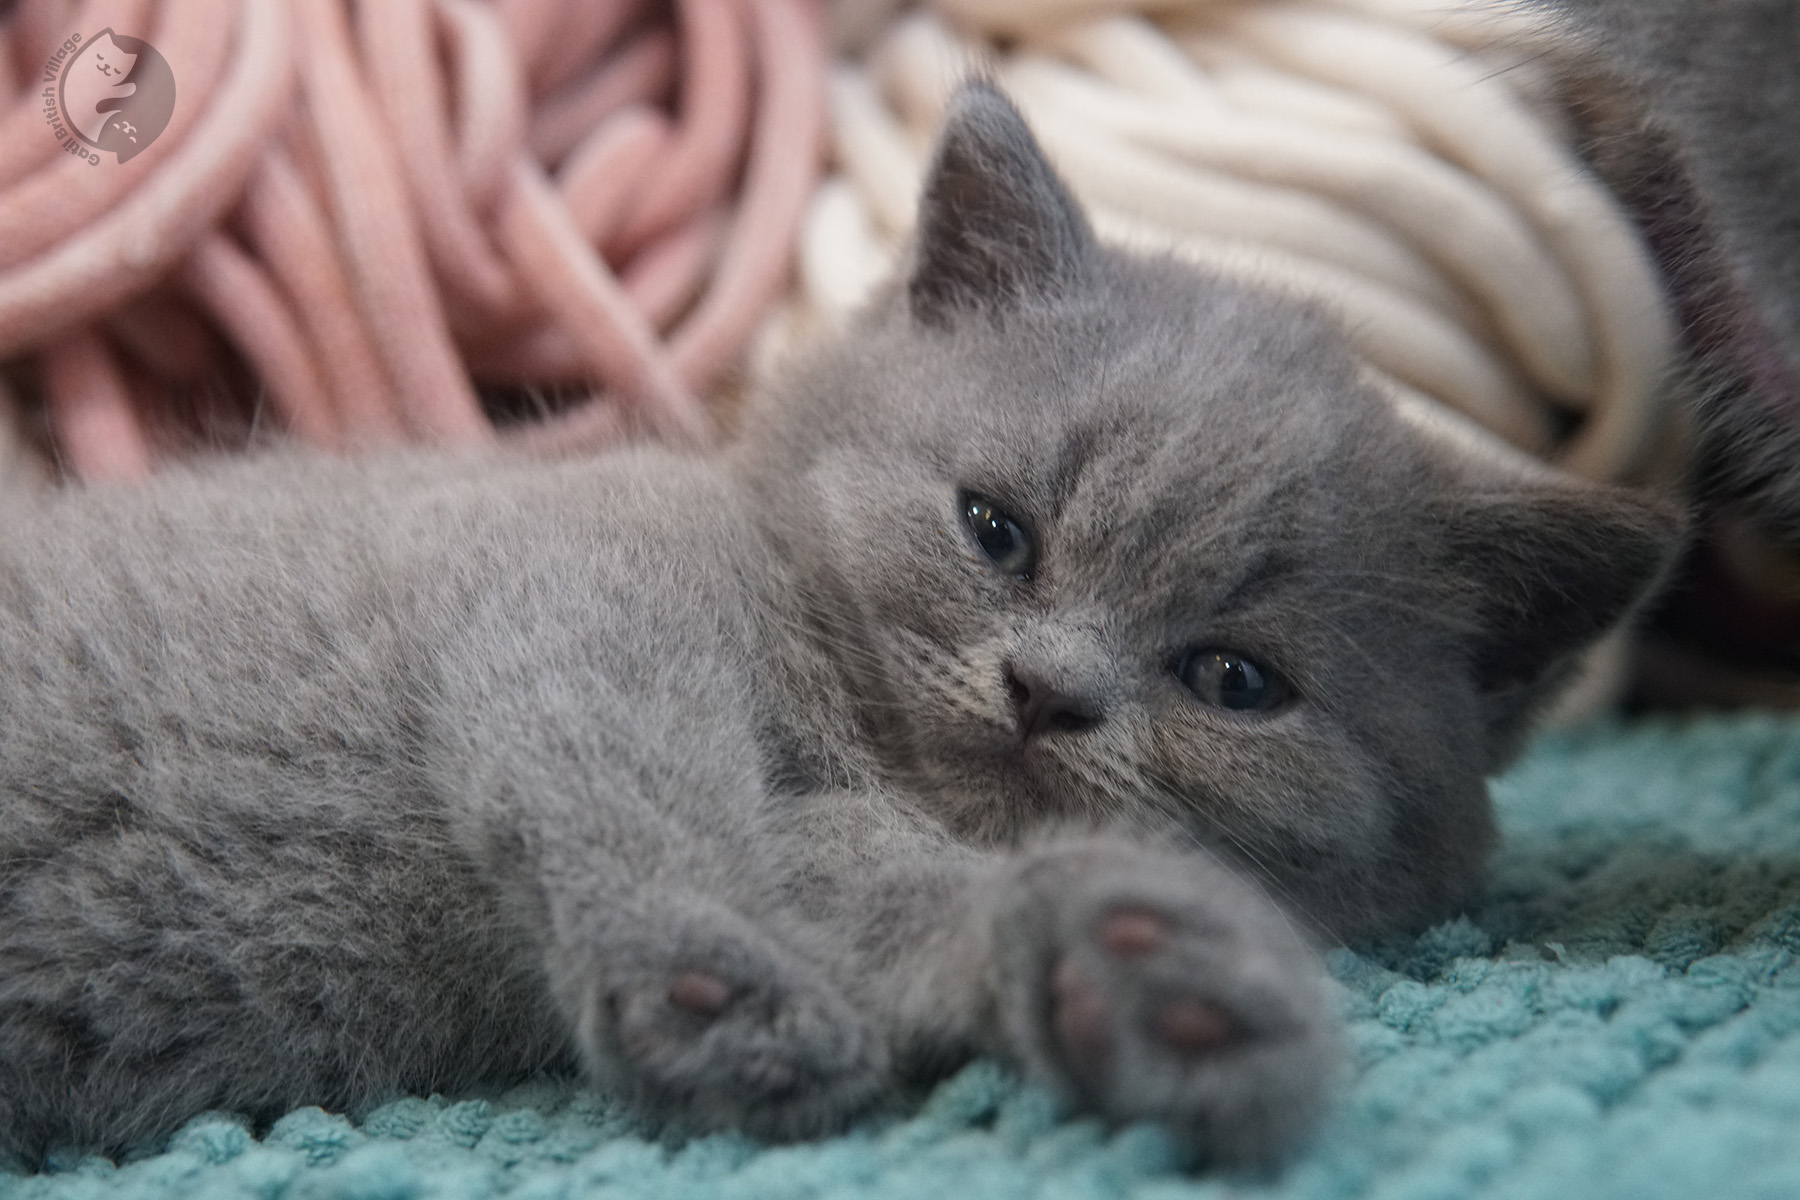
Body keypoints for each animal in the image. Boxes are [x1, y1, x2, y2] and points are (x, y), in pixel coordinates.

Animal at [0, 86, 1677, 1173]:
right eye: (996, 531)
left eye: (1233, 680)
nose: (1045, 689)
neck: (847, 744)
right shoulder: (570, 576)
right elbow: (628, 790)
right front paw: (712, 994)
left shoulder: (836, 843)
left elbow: (912, 903)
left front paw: (1153, 979)